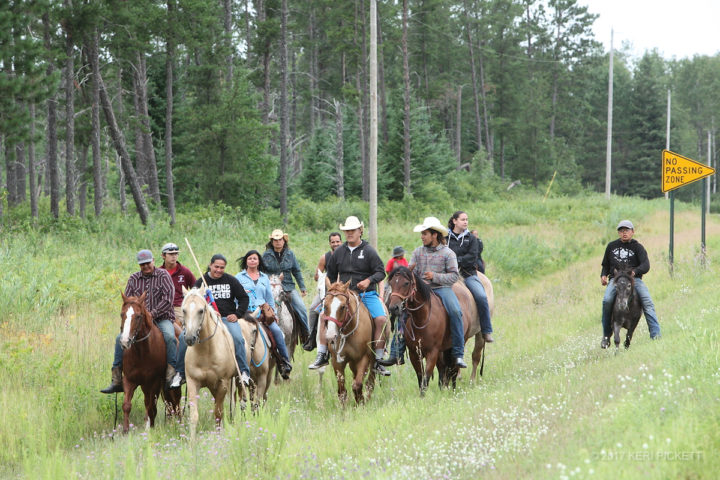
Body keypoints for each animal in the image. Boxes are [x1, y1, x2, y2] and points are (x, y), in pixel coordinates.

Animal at [118, 292, 180, 436]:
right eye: (122, 314)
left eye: (138, 316)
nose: (125, 341)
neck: (141, 353)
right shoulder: (129, 379)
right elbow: (126, 405)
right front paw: (125, 431)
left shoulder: (154, 381)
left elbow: (151, 406)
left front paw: (149, 428)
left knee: (175, 402)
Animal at [180, 286, 236, 436]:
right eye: (184, 310)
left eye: (201, 310)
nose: (190, 338)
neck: (206, 352)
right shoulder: (192, 382)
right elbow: (194, 416)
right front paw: (192, 441)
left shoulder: (223, 383)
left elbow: (218, 413)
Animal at [388, 266, 496, 394]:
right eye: (391, 283)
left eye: (406, 283)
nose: (393, 308)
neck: (422, 318)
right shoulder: (414, 352)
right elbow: (421, 376)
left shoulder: (433, 351)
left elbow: (427, 376)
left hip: (474, 335)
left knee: (470, 359)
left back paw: (466, 383)